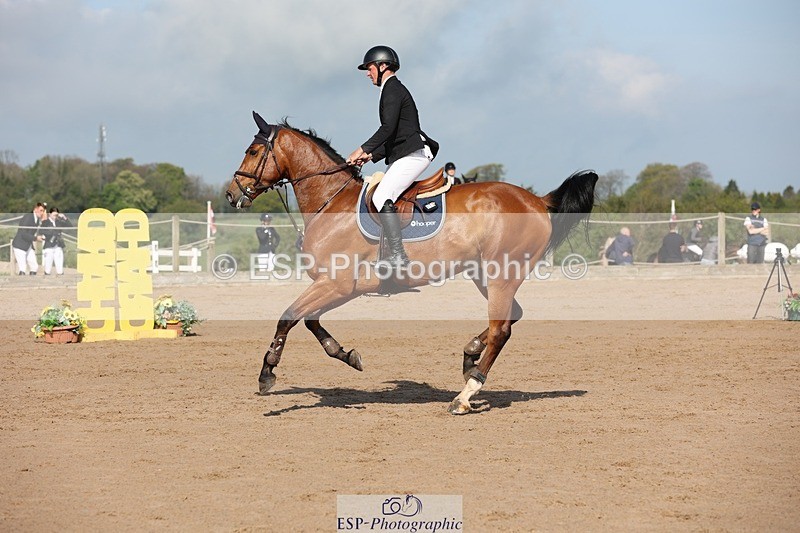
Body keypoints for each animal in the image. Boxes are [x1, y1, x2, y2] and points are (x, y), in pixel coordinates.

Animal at [225, 112, 598, 414]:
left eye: (253, 152)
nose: (232, 193)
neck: (331, 201)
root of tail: (536, 200)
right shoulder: (339, 287)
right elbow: (309, 321)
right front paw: (346, 354)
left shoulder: (337, 284)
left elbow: (288, 317)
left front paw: (267, 372)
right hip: (485, 275)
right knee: (510, 318)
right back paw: (470, 354)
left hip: (501, 274)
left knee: (501, 330)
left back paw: (464, 396)